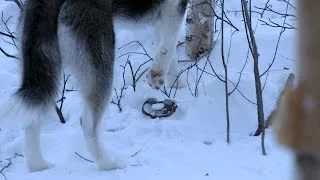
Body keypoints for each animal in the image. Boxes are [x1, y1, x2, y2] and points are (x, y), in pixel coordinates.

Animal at [9, 0, 188, 172]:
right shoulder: (173, 8)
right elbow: (169, 44)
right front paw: (158, 74)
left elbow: (165, 45)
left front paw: (176, 82)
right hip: (100, 63)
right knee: (88, 125)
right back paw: (109, 163)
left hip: (45, 67)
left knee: (32, 118)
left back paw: (38, 165)